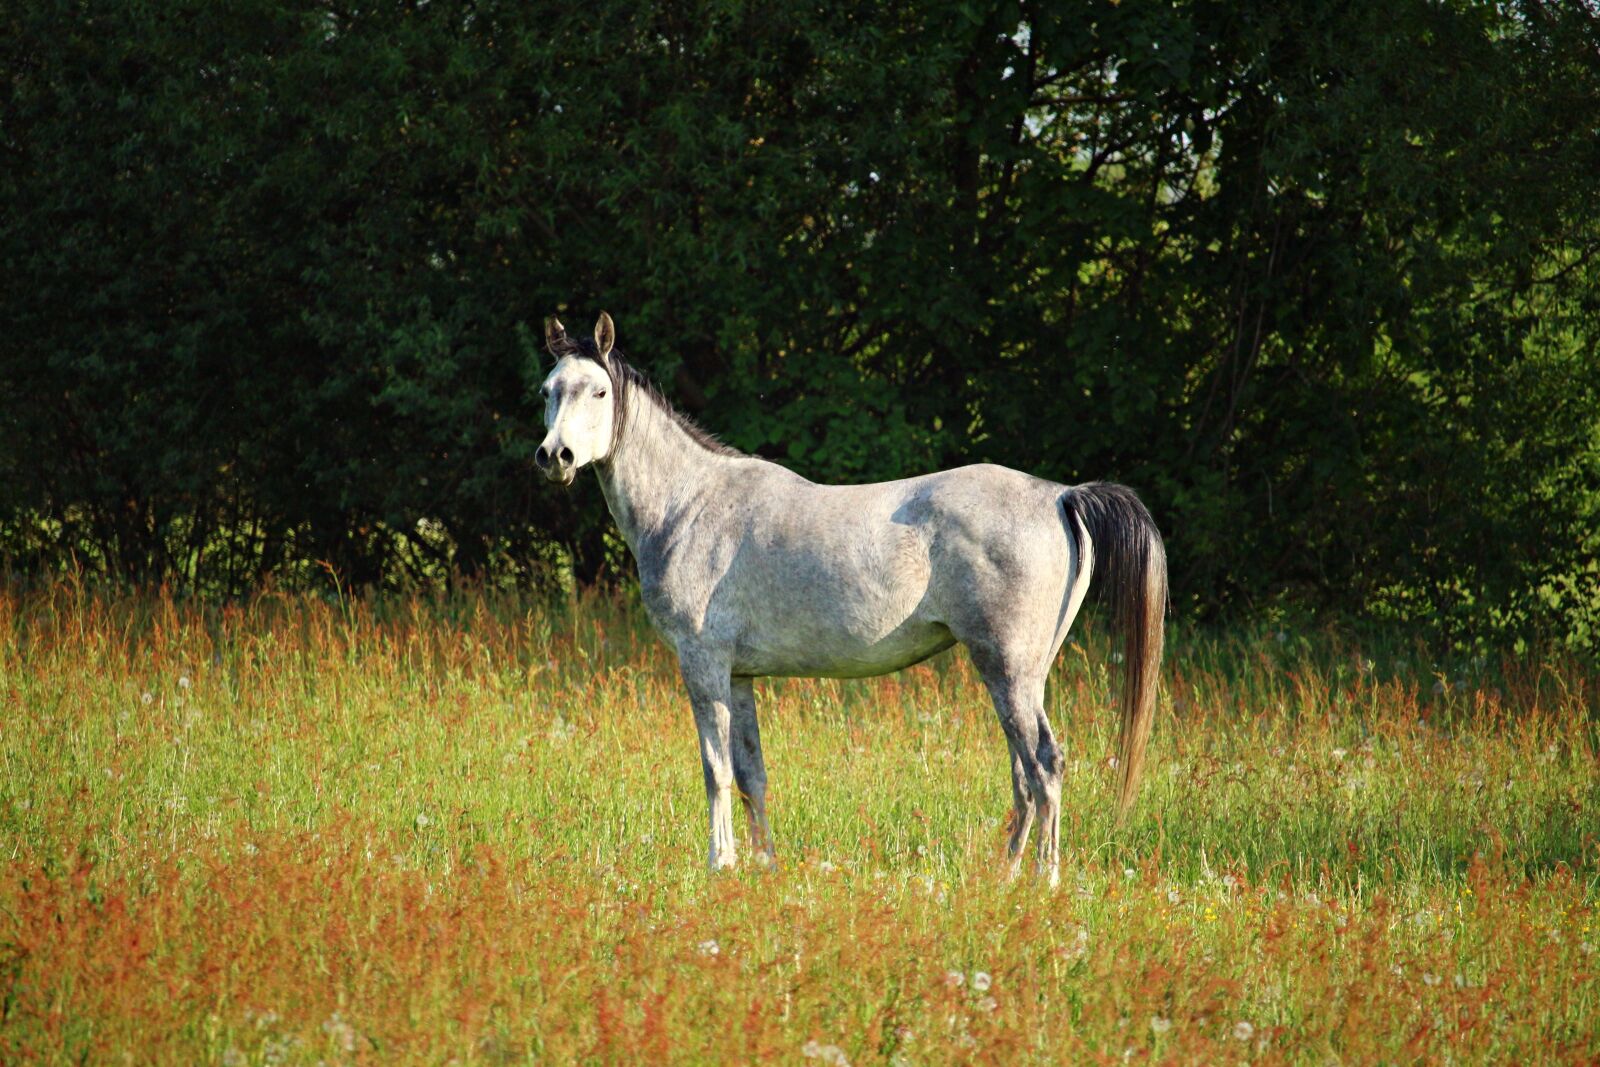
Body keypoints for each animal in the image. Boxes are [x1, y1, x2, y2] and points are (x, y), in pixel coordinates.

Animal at [534, 312, 1166, 883]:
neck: (689, 504)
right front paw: (764, 868)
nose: (554, 457)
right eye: (548, 390)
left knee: (1045, 767)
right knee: (1024, 775)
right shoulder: (739, 677)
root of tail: (1060, 495)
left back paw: (1042, 880)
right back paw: (1005, 875)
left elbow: (715, 772)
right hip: (1019, 675)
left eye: (599, 390)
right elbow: (752, 774)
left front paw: (721, 864)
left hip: (1009, 670)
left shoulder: (703, 665)